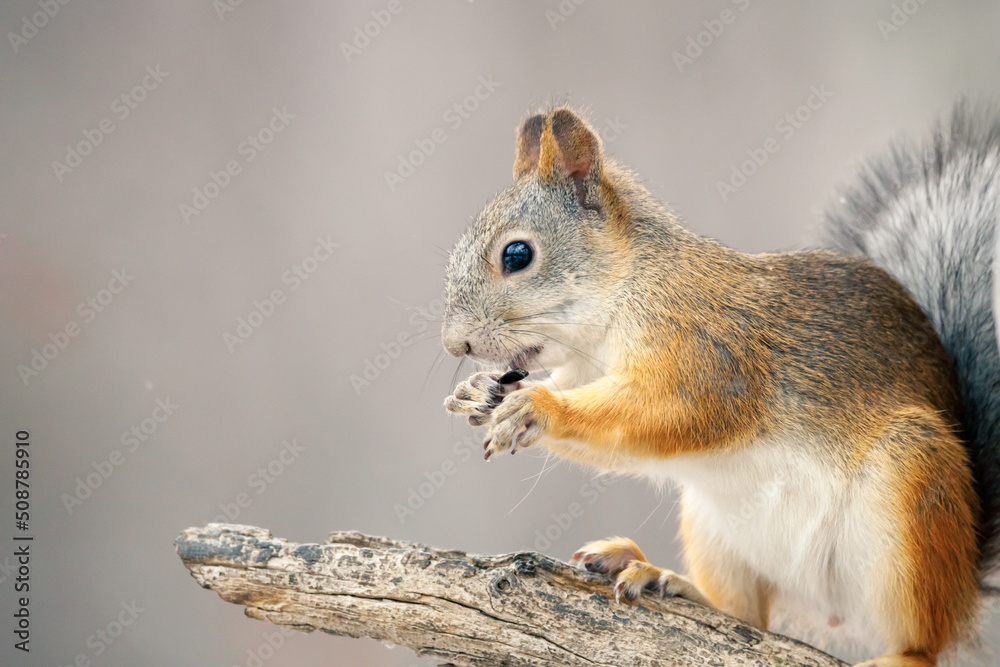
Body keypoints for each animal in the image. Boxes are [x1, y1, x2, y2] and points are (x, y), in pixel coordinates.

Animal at [440, 103, 1000, 666]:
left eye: (517, 255)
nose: (453, 345)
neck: (620, 297)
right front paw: (480, 394)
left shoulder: (709, 356)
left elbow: (672, 411)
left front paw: (538, 407)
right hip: (715, 526)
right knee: (744, 615)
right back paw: (663, 576)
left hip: (912, 487)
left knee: (924, 641)